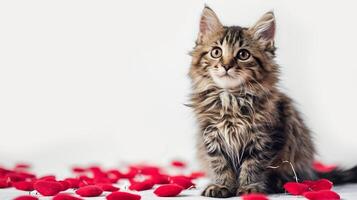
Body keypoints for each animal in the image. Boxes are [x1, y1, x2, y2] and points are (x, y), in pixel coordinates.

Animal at [188, 5, 356, 197]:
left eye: (243, 54)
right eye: (216, 52)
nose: (226, 66)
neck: (231, 99)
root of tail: (312, 171)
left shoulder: (265, 137)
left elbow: (253, 165)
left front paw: (249, 188)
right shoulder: (211, 136)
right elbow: (220, 165)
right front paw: (221, 186)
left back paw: (279, 183)